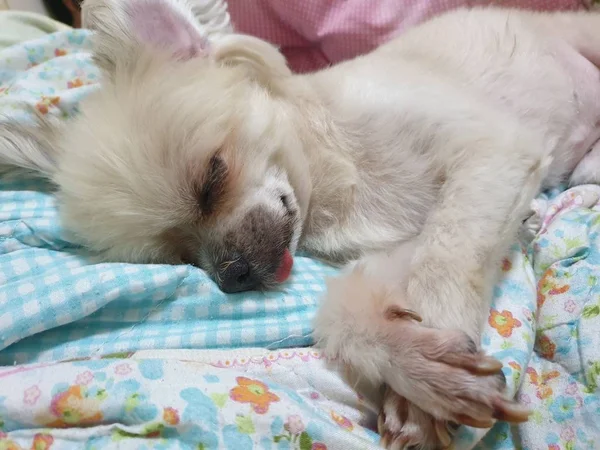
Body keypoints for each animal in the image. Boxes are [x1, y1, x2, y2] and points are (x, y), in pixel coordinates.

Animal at [1, 1, 600, 448]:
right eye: (178, 256)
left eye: (211, 179)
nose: (233, 275)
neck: (334, 177)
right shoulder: (399, 241)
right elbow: (342, 309)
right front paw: (414, 363)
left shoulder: (492, 155)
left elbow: (445, 262)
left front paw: (421, 386)